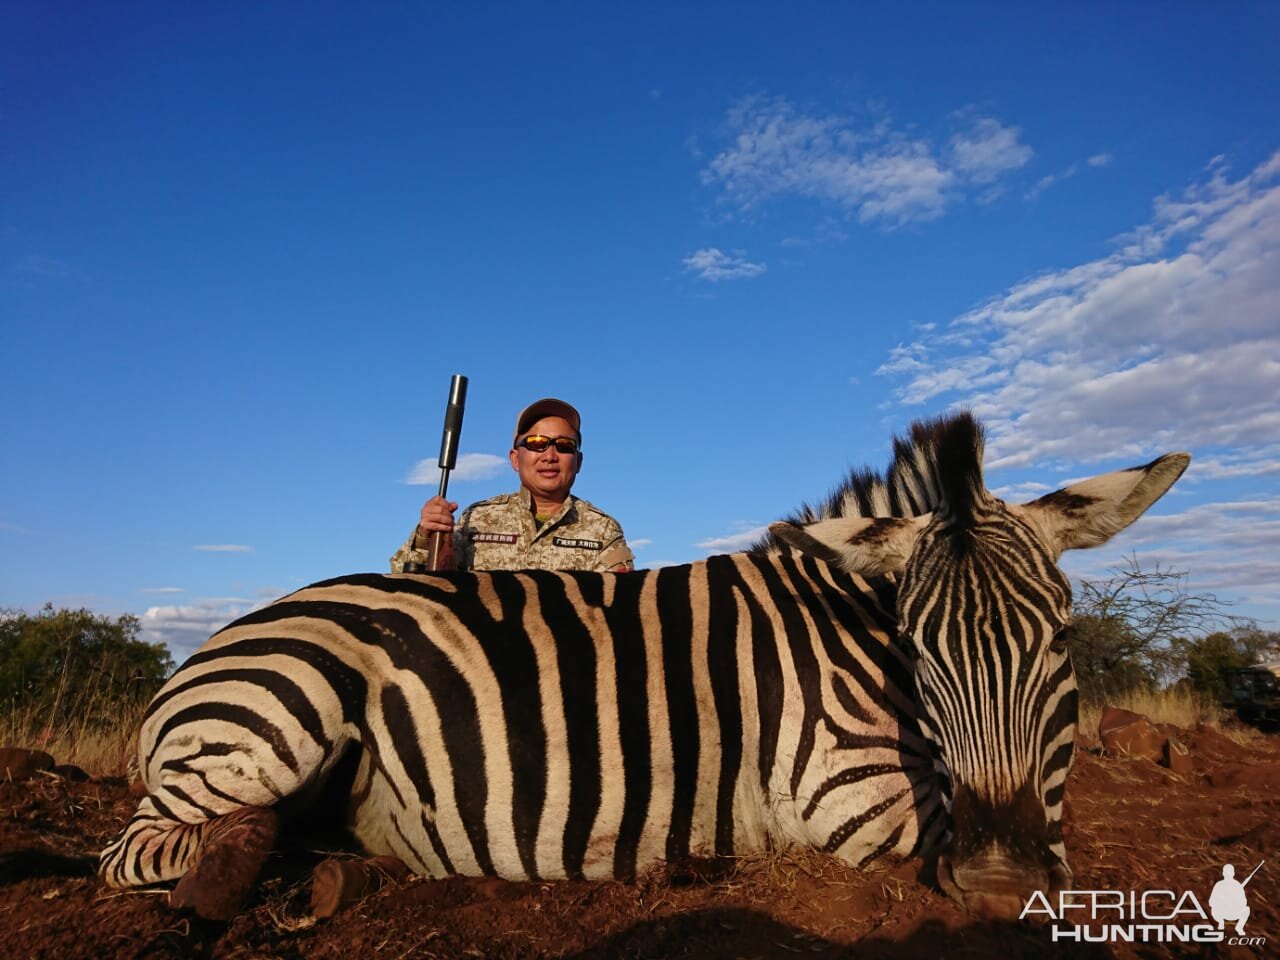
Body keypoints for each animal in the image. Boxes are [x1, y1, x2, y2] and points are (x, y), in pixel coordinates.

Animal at [99, 412, 1187, 916]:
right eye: (916, 649)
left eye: (1060, 638)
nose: (1004, 882)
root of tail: (209, 647)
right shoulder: (844, 794)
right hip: (279, 718)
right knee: (142, 850)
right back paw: (247, 868)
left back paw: (333, 870)